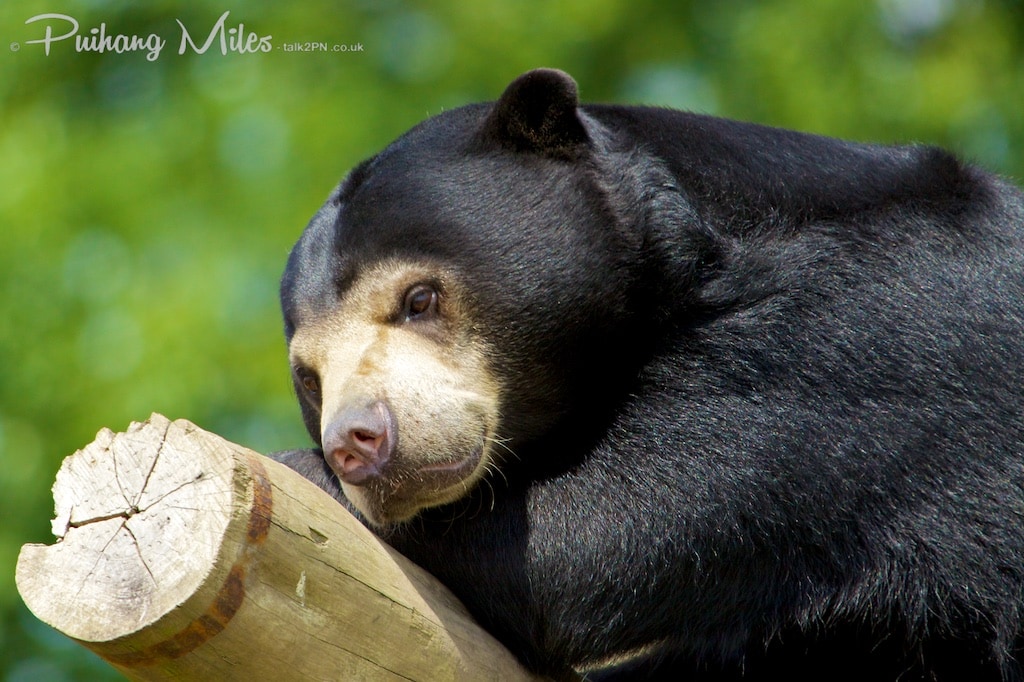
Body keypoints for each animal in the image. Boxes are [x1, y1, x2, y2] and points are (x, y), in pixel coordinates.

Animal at [274, 68, 1024, 680]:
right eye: (310, 377)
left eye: (419, 299)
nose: (356, 444)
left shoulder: (870, 338)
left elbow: (603, 530)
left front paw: (294, 466)